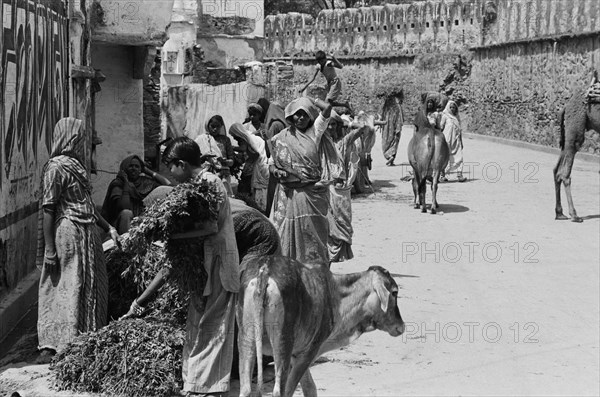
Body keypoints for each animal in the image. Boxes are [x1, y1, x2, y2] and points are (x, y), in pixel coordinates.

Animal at [237, 255, 406, 394]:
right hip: (282, 343)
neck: (335, 294)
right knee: (279, 390)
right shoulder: (310, 350)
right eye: (394, 292)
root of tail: (265, 269)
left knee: (245, 389)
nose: (401, 326)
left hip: (247, 339)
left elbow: (310, 387)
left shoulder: (297, 354)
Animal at [552, 72, 600, 221]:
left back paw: (560, 213)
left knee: (556, 169)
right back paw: (574, 214)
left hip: (568, 133)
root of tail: (566, 106)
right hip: (576, 127)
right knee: (564, 173)